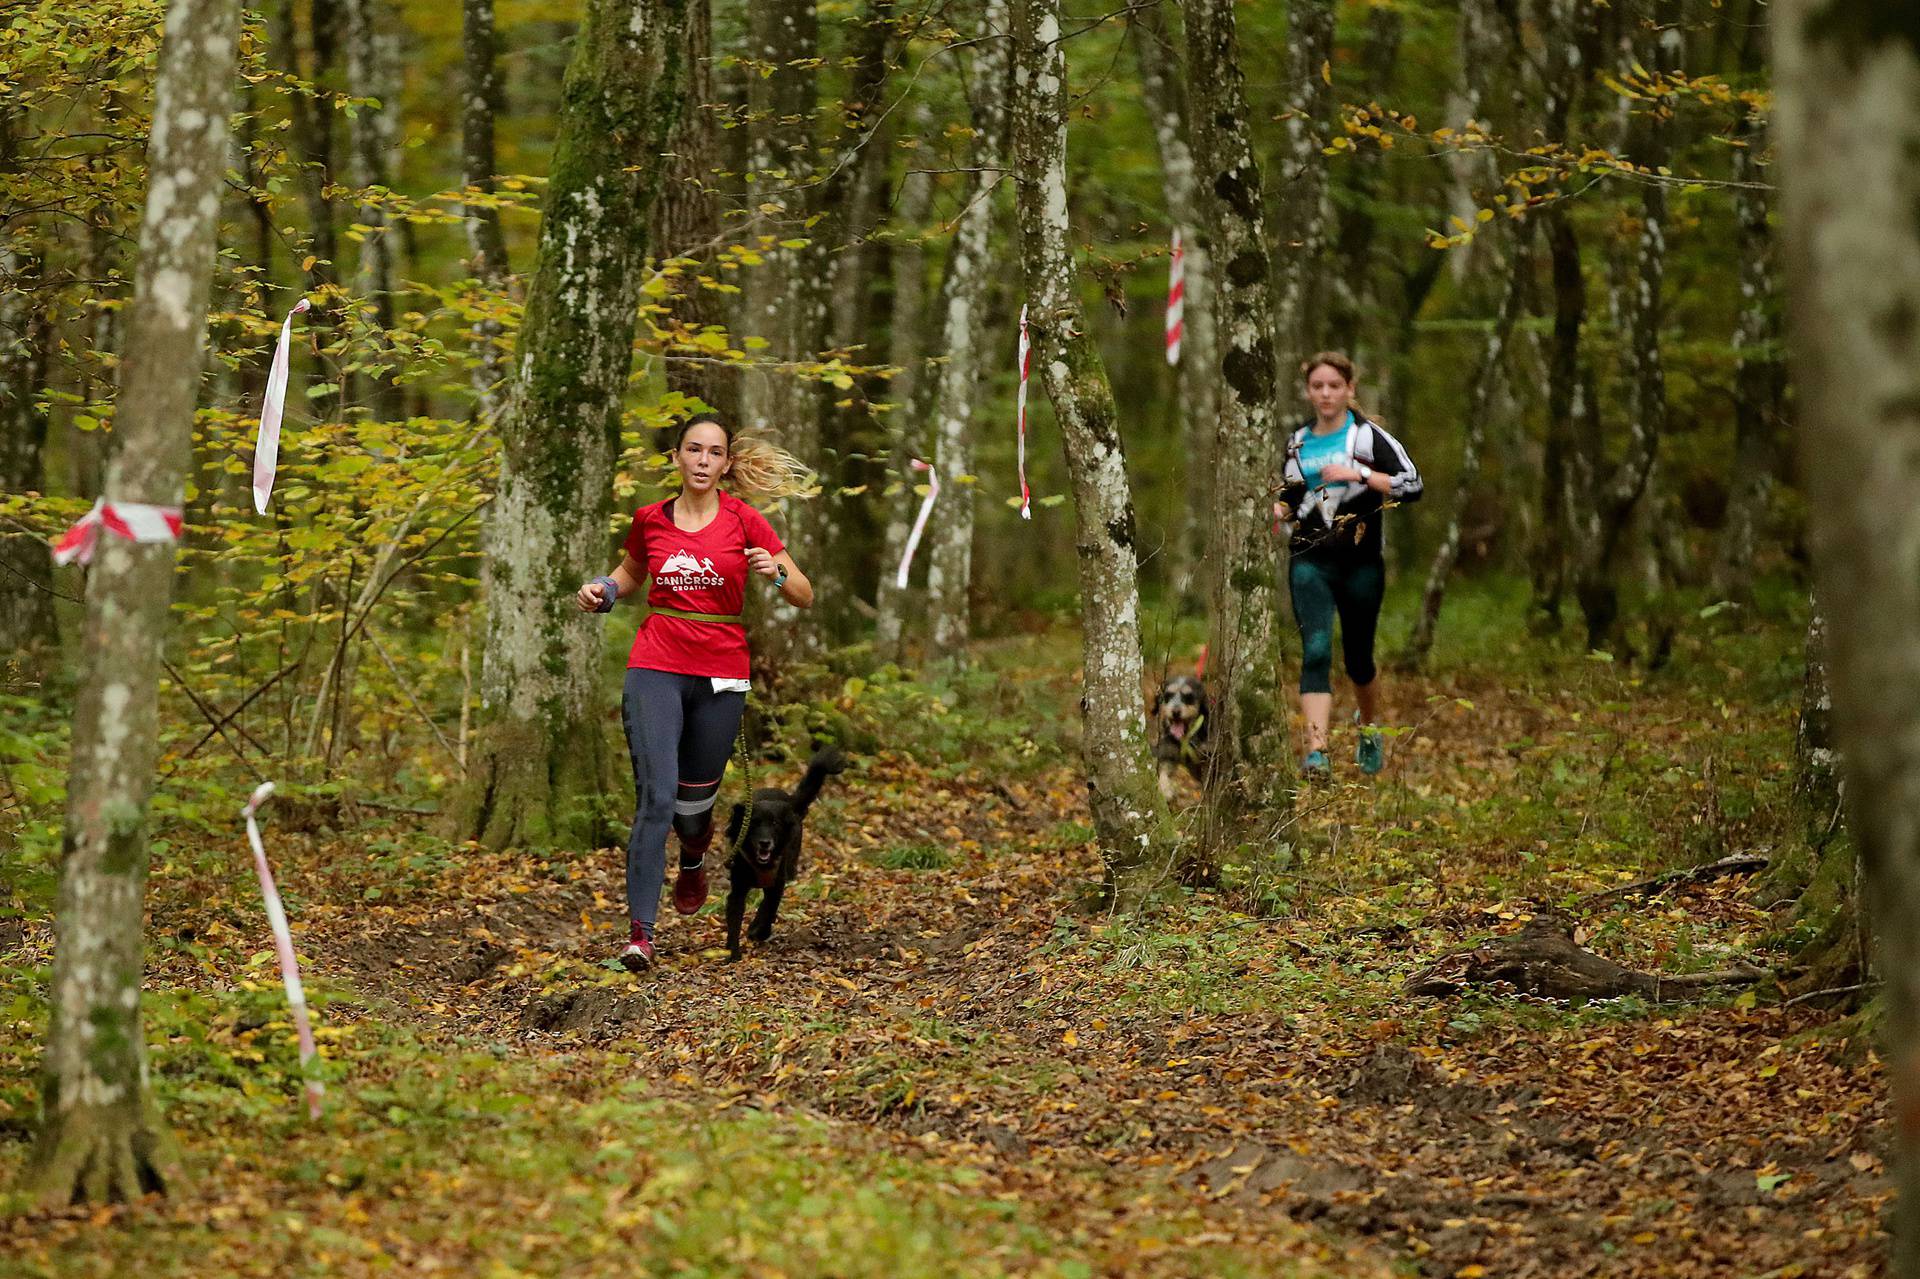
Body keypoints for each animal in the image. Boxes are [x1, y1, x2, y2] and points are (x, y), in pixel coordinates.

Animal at [721, 748, 844, 956]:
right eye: (754, 824)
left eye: (774, 824)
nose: (765, 843)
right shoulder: (738, 888)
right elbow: (735, 918)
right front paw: (733, 952)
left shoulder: (777, 881)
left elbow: (770, 906)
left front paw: (759, 932)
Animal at [1144, 668, 1205, 798]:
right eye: (1168, 696)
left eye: (1188, 697)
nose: (1176, 711)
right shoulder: (1167, 751)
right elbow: (1163, 768)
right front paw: (1165, 788)